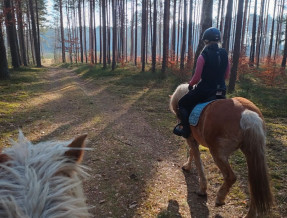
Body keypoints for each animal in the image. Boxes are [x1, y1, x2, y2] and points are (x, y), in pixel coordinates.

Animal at [171, 84, 274, 218]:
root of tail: (247, 114)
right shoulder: (194, 139)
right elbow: (193, 153)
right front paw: (187, 167)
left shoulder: (191, 139)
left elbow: (197, 159)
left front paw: (202, 189)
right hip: (251, 155)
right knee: (254, 186)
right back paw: (249, 214)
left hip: (217, 153)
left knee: (231, 177)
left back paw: (219, 199)